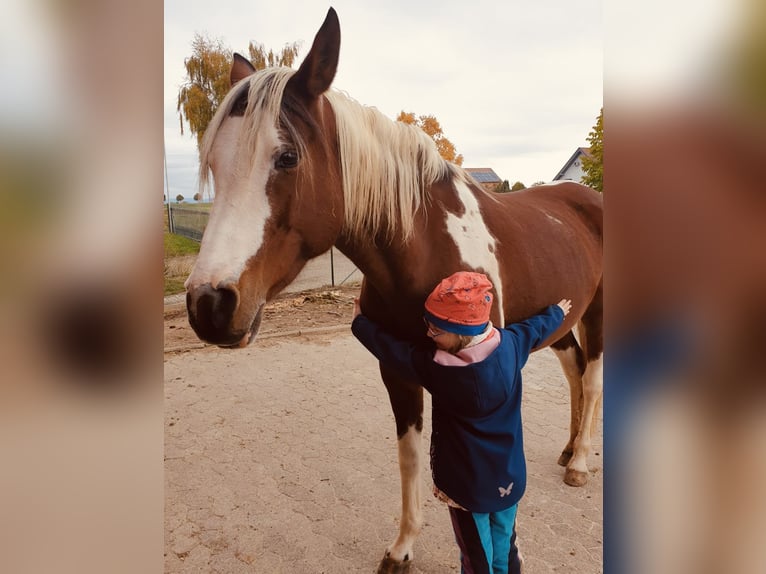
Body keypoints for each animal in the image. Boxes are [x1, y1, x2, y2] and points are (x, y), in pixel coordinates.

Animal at [183, 6, 604, 572]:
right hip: (559, 319)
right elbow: (408, 456)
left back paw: (579, 461)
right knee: (575, 371)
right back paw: (567, 449)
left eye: (288, 157)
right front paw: (402, 547)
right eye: (215, 163)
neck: (424, 246)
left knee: (594, 377)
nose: (208, 304)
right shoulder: (398, 369)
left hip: (598, 310)